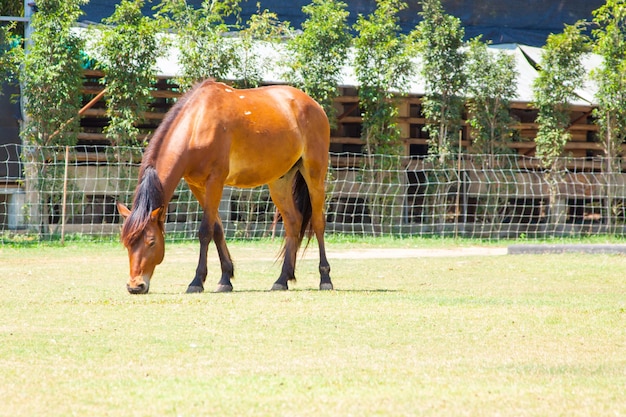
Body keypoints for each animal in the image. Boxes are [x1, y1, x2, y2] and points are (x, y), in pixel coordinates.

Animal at [117, 79, 332, 292]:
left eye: (151, 242)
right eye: (126, 244)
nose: (135, 285)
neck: (197, 123)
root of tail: (313, 105)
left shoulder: (215, 181)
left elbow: (205, 231)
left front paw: (197, 281)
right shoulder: (197, 186)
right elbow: (217, 230)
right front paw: (225, 278)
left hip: (314, 175)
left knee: (318, 222)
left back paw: (325, 278)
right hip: (280, 181)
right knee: (293, 222)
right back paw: (282, 279)